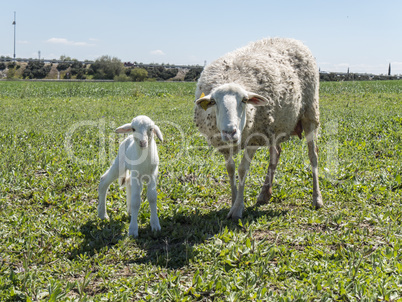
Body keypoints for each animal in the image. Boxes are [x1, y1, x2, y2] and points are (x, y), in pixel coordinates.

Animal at [193, 38, 322, 222]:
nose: (230, 132)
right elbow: (231, 169)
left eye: (244, 100)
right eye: (214, 102)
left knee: (313, 156)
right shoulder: (224, 144)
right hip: (275, 126)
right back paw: (264, 194)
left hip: (310, 113)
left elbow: (242, 169)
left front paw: (237, 208)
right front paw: (233, 200)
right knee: (276, 153)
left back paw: (317, 199)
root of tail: (293, 40)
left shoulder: (253, 137)